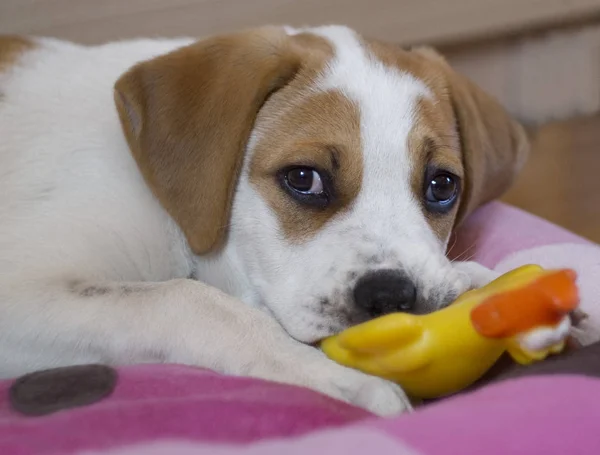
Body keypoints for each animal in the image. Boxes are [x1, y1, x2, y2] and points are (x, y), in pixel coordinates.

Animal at [0, 25, 524, 416]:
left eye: (442, 185)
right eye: (303, 179)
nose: (392, 296)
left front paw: (475, 279)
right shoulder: (19, 291)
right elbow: (187, 301)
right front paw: (334, 378)